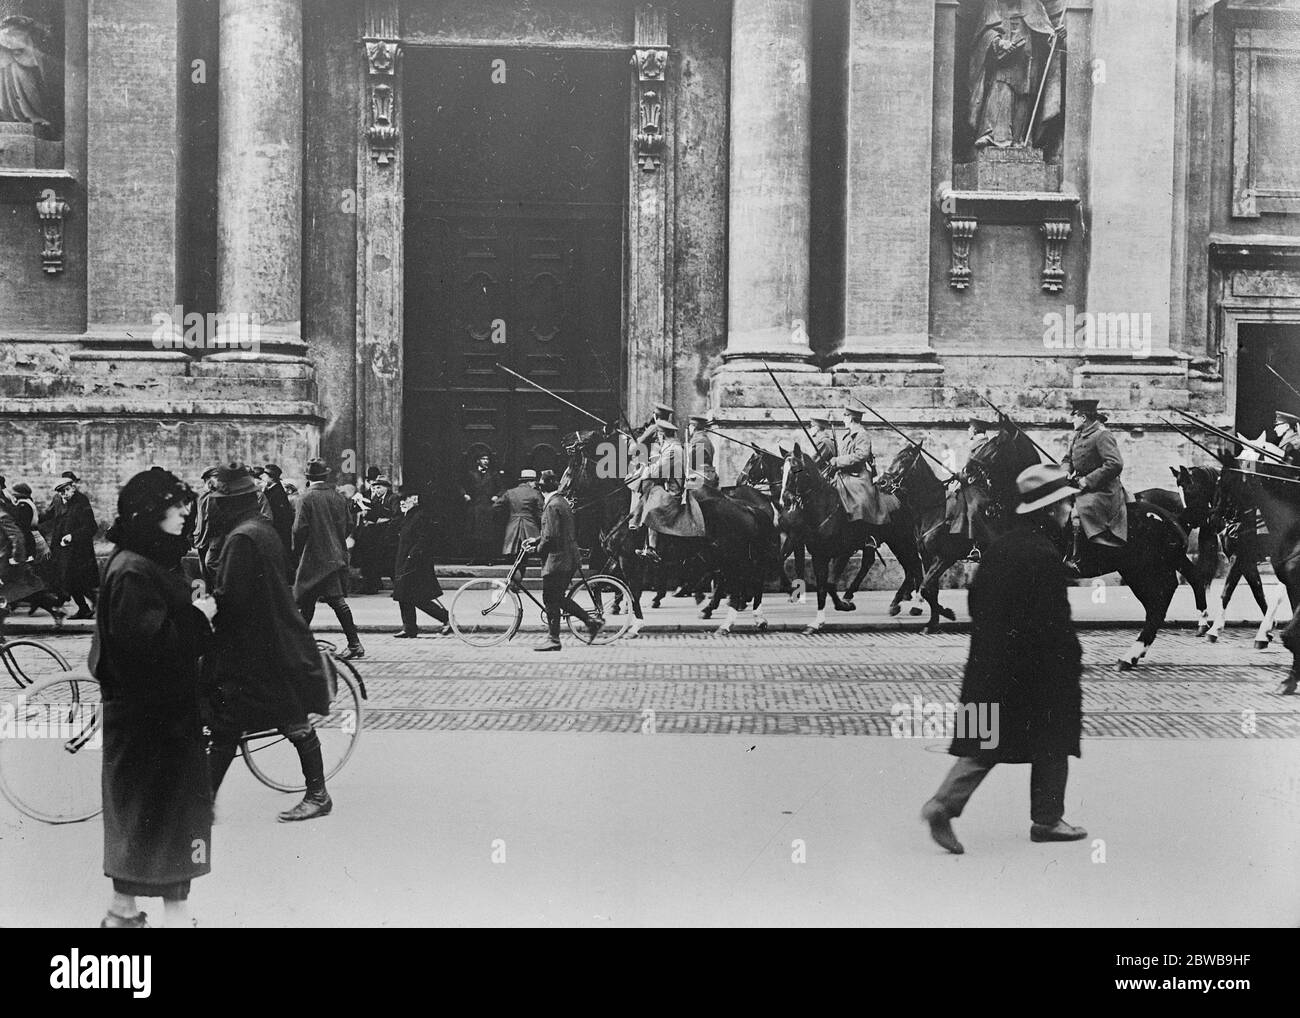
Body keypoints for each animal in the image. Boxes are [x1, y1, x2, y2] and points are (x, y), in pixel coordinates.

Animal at [780, 447, 925, 629]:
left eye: (795, 469)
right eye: (782, 470)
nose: (784, 501)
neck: (824, 508)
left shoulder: (844, 552)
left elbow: (829, 584)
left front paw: (843, 605)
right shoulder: (818, 555)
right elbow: (822, 587)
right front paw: (819, 620)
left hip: (903, 540)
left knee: (915, 565)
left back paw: (913, 604)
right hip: (895, 542)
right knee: (907, 568)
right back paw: (895, 603)